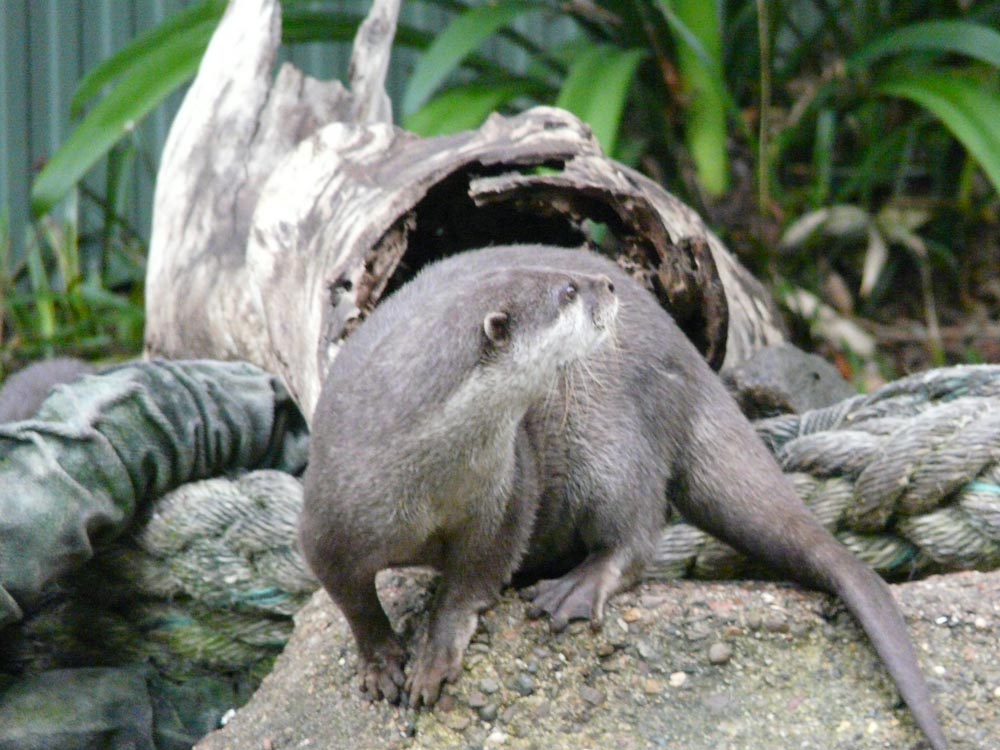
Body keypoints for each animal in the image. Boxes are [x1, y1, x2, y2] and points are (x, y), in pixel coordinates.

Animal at [300, 245, 946, 750]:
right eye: (566, 291)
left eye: (559, 275)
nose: (606, 285)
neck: (424, 480)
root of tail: (689, 358)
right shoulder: (327, 513)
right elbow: (350, 598)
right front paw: (380, 661)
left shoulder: (506, 494)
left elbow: (472, 582)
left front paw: (434, 657)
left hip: (609, 436)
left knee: (635, 532)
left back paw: (579, 586)